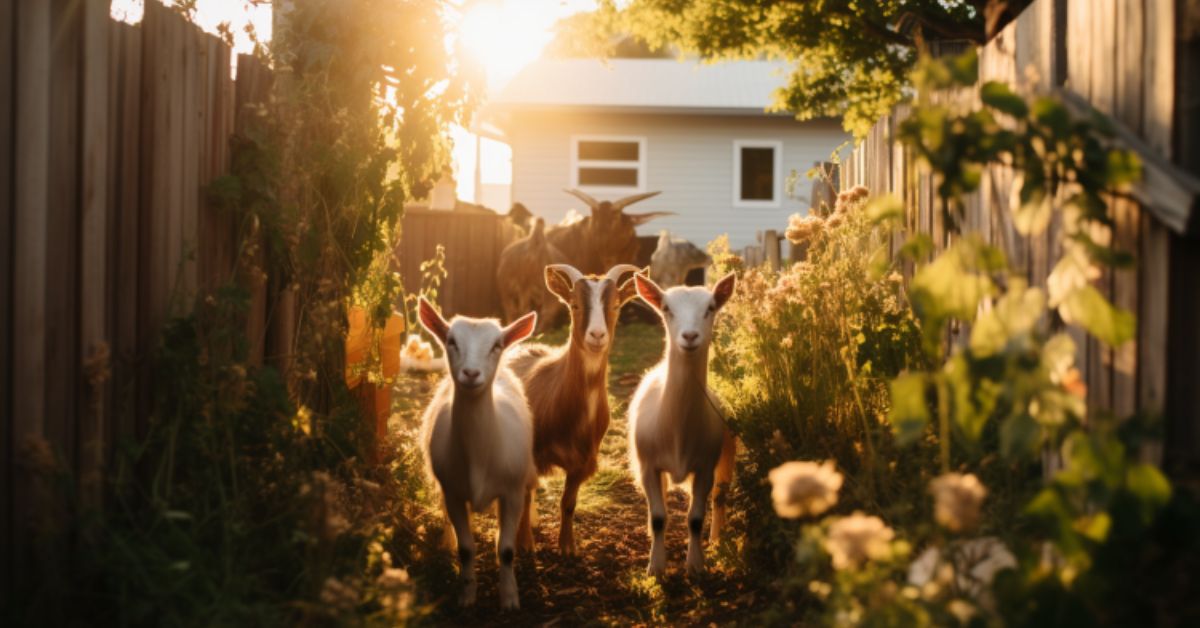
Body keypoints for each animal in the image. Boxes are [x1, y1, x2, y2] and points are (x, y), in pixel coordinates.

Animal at [417, 298, 538, 609]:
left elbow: (506, 550)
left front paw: (509, 597)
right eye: (451, 341)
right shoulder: (453, 493)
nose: (471, 374)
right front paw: (467, 594)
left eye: (496, 344)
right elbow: (467, 549)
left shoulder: (512, 493)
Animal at [506, 263, 641, 556]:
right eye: (574, 305)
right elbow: (524, 494)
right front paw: (524, 544)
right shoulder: (531, 453)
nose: (597, 335)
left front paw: (568, 546)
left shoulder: (584, 460)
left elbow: (568, 503)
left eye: (616, 305)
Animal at [627, 272, 737, 576]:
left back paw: (717, 539)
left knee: (720, 497)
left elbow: (695, 518)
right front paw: (655, 566)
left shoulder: (705, 466)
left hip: (726, 453)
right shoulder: (648, 466)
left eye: (710, 308)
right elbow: (659, 516)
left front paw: (696, 564)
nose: (689, 336)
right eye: (666, 309)